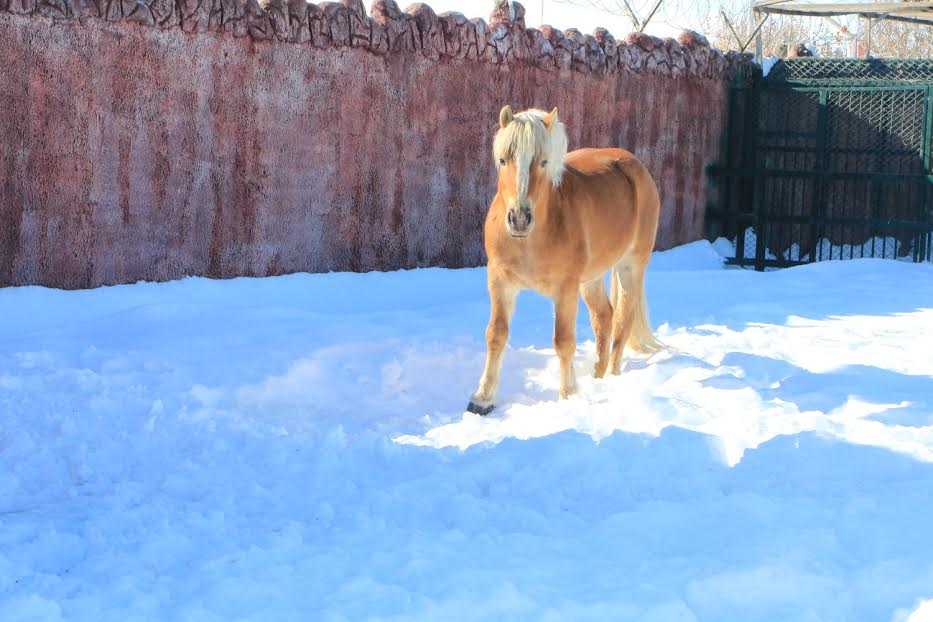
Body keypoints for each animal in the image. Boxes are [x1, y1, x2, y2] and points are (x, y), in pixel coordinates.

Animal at [466, 106, 664, 420]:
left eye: (544, 161)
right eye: (503, 159)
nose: (519, 219)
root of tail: (636, 167)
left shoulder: (565, 290)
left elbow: (563, 341)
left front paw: (568, 394)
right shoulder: (499, 281)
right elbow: (496, 334)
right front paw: (482, 399)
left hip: (631, 266)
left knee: (622, 320)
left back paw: (611, 379)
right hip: (592, 279)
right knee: (604, 317)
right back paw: (596, 377)